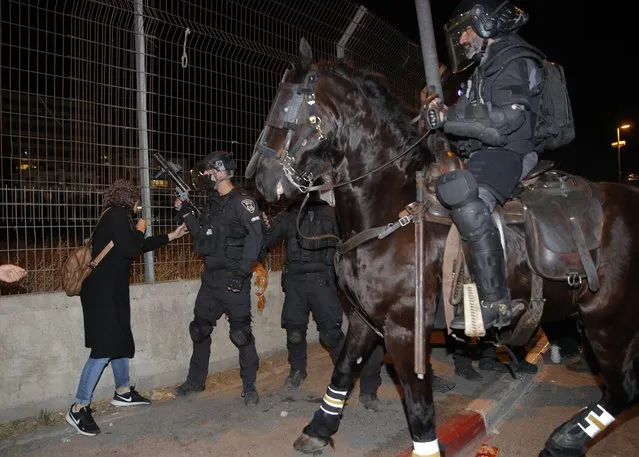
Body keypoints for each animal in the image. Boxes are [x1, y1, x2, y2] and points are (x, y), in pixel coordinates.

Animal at [248, 40, 639, 456]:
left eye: (286, 109)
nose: (259, 179)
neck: (389, 212)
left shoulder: (405, 330)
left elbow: (420, 409)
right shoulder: (364, 319)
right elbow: (342, 369)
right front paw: (318, 429)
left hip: (606, 320)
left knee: (623, 389)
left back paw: (564, 439)